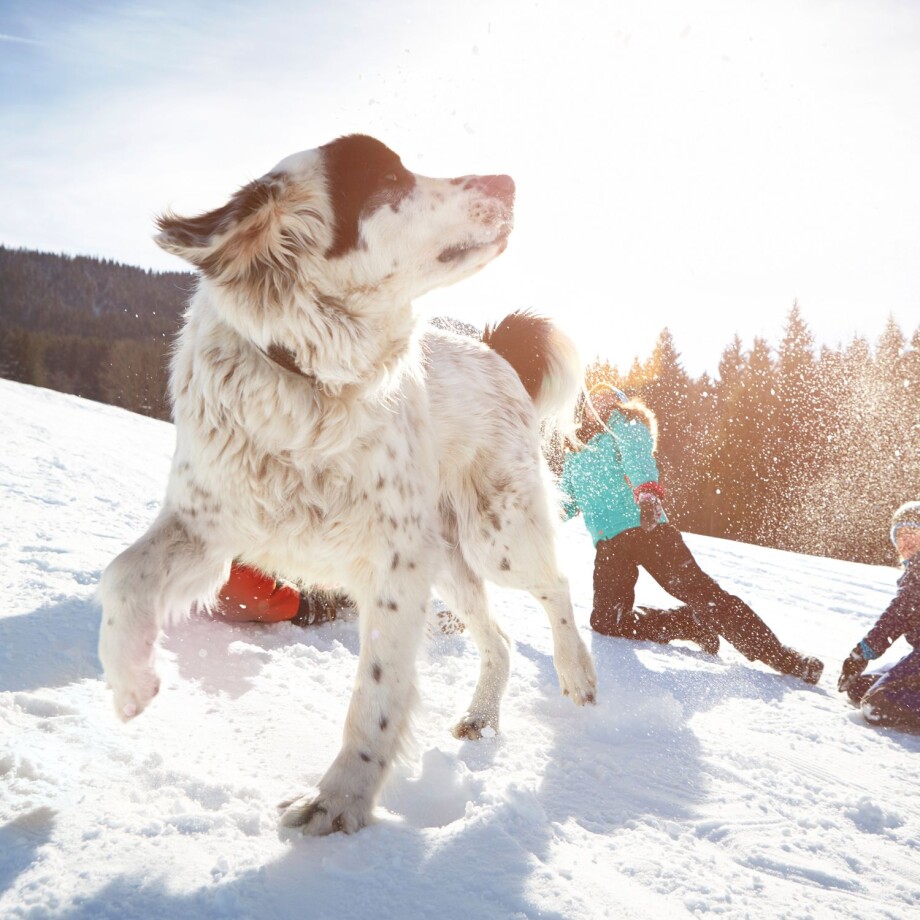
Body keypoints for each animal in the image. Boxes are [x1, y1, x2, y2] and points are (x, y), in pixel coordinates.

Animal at [99, 135, 596, 832]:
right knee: (496, 637)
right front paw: (130, 681)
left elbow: (376, 696)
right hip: (447, 559)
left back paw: (577, 674)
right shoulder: (208, 526)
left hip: (496, 536)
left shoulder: (394, 568)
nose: (509, 181)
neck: (309, 382)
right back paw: (479, 716)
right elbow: (122, 575)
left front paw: (338, 803)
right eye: (389, 179)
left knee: (556, 587)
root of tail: (493, 350)